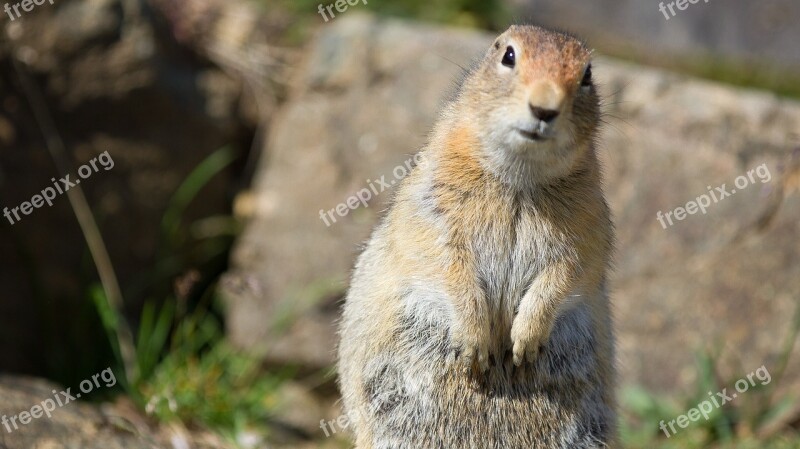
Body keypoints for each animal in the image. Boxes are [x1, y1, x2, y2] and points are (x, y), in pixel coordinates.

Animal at [334, 24, 616, 448]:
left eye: (587, 75)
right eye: (509, 56)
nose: (545, 108)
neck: (520, 178)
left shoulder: (589, 229)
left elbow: (567, 274)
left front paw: (523, 343)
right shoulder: (433, 212)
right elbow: (446, 264)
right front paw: (477, 343)